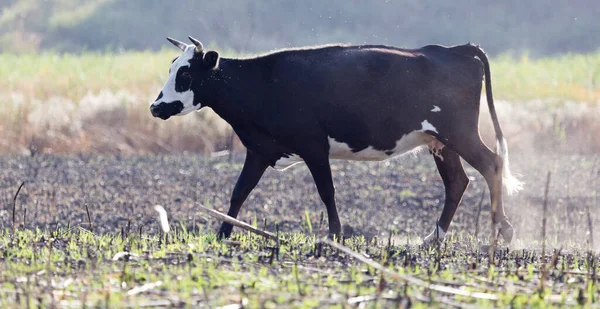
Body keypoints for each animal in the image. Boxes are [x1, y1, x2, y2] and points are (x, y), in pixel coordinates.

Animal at [150, 36, 520, 243]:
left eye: (185, 73)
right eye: (171, 69)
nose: (155, 107)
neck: (264, 82)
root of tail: (455, 50)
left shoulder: (314, 147)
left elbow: (327, 191)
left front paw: (335, 235)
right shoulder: (260, 150)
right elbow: (239, 191)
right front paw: (223, 234)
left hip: (459, 132)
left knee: (491, 164)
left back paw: (503, 229)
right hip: (440, 142)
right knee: (457, 182)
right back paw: (434, 238)